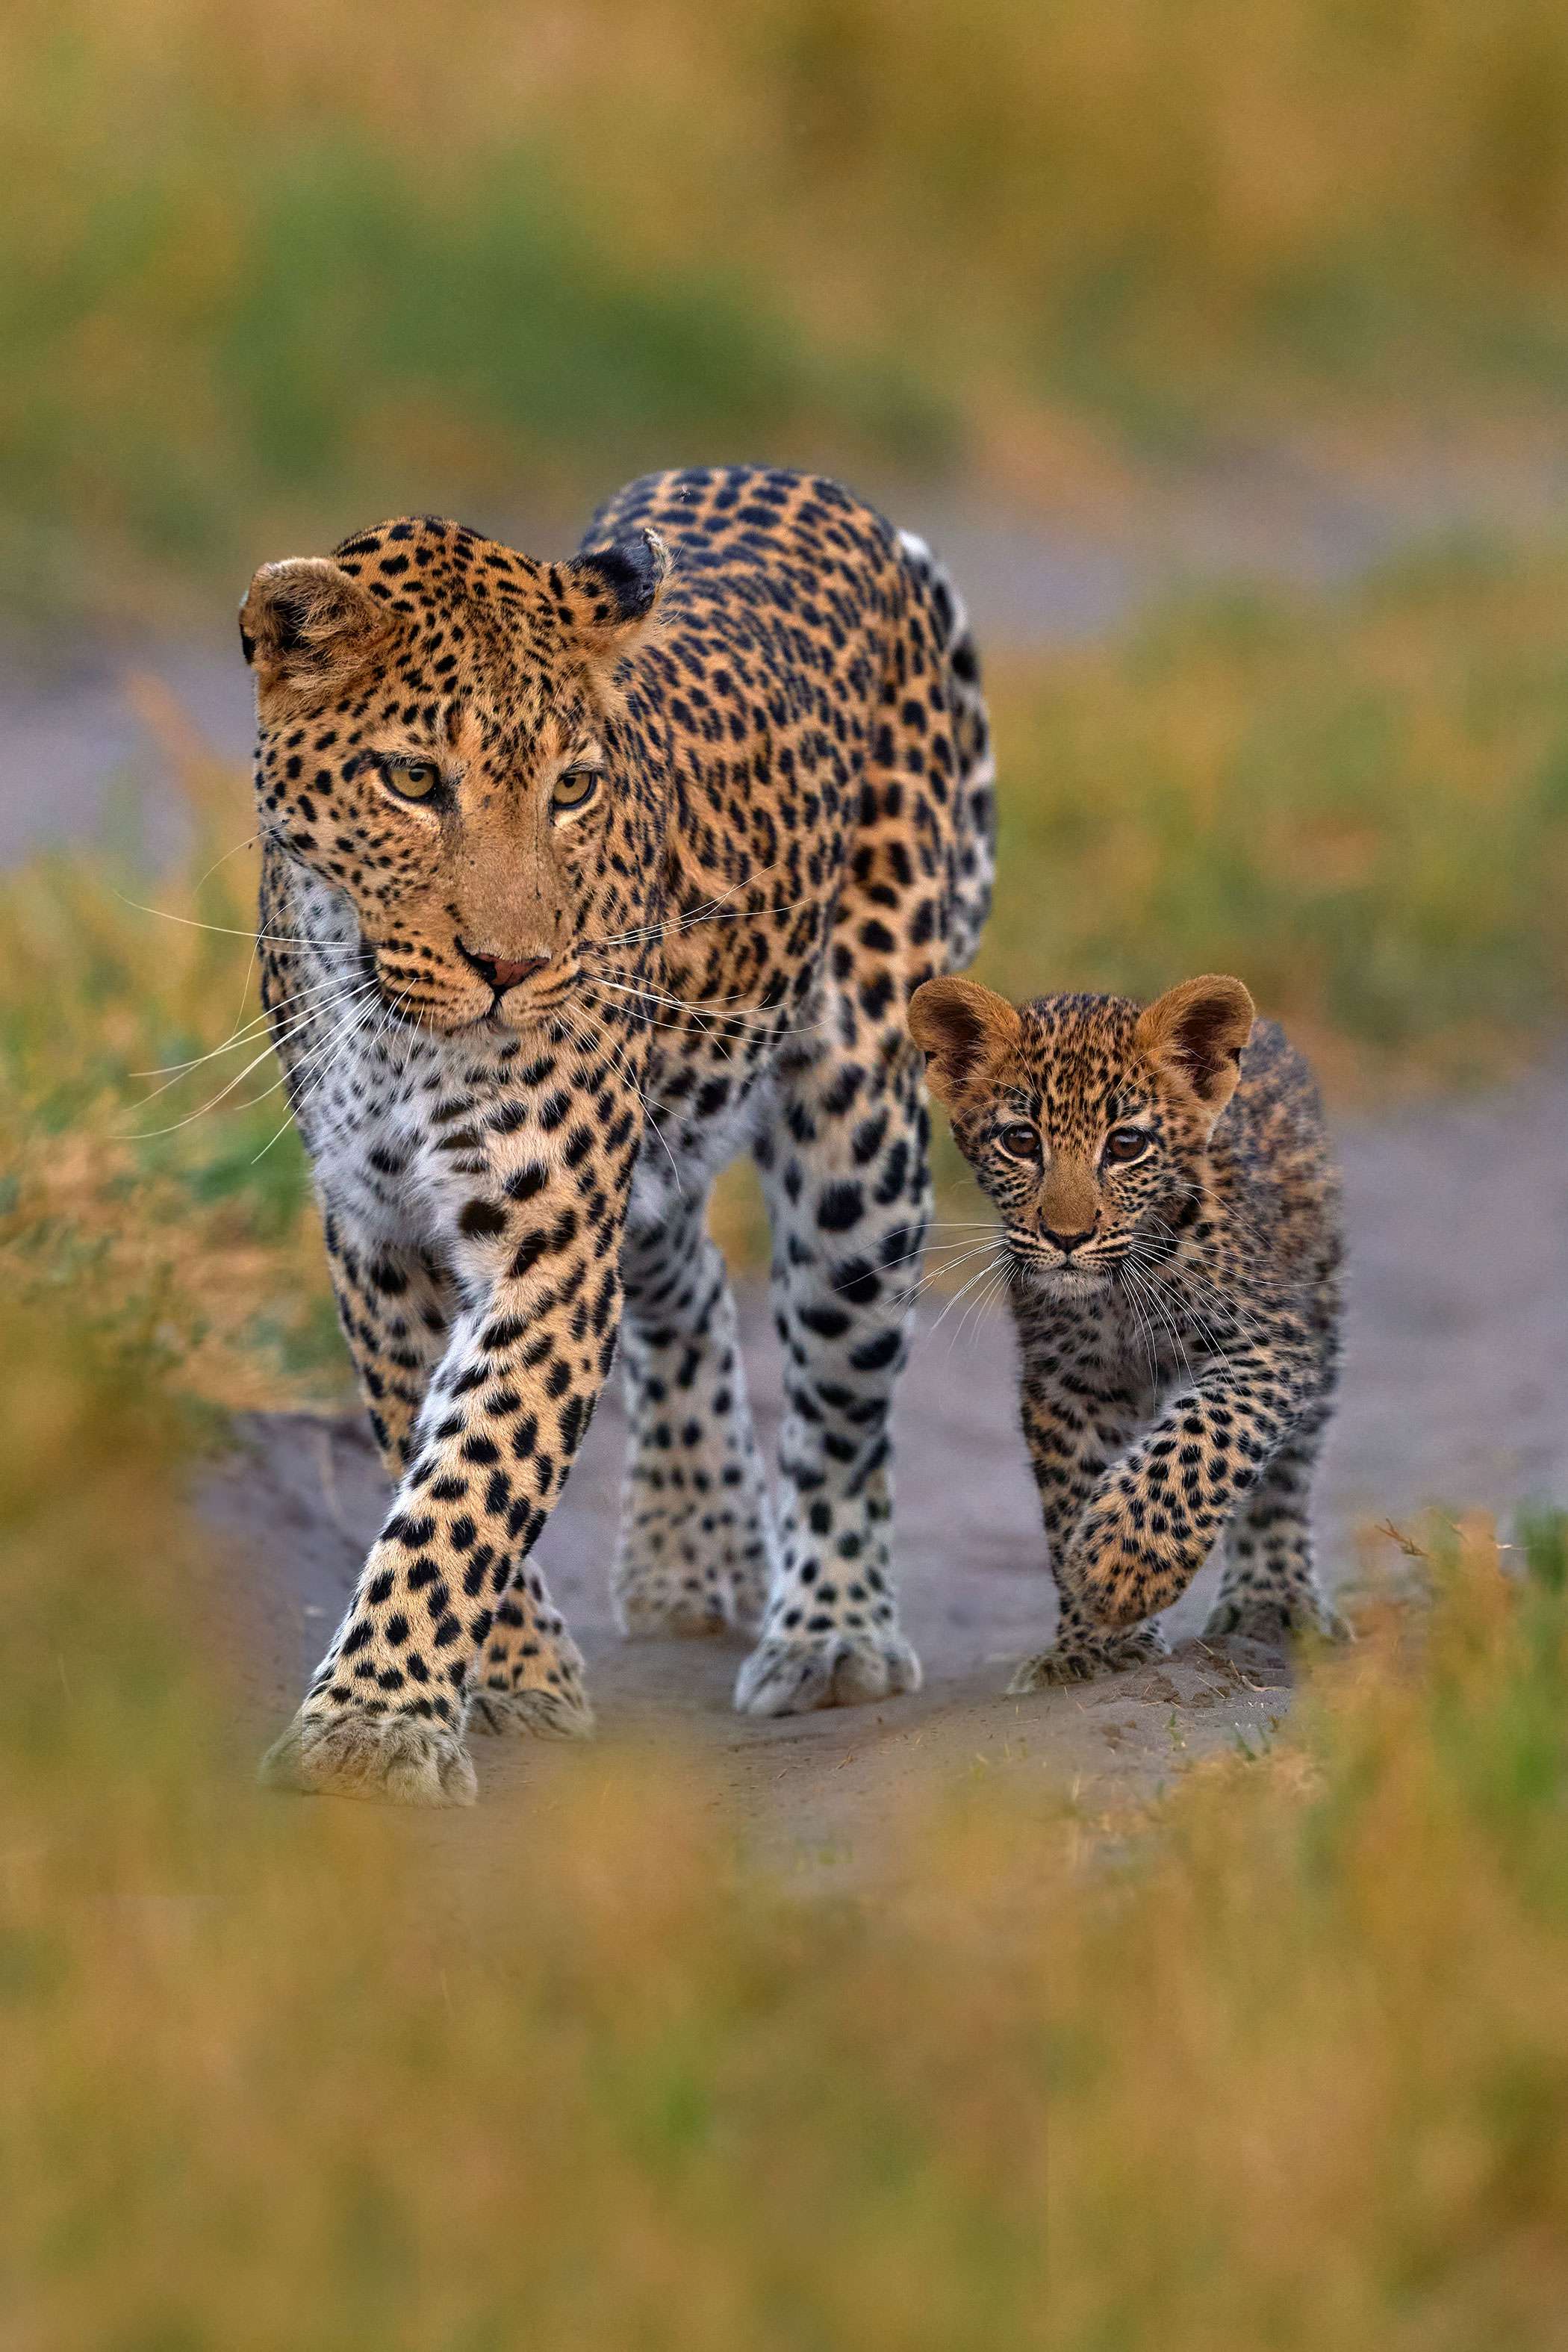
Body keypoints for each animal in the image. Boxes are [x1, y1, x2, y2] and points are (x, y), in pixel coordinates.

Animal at [238, 465, 996, 1804]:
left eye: (574, 791)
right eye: (413, 782)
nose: (512, 967)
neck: (395, 1030)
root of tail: (827, 489)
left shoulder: (546, 1239)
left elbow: (471, 1485)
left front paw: (373, 1727)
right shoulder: (376, 1236)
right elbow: (433, 1449)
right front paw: (516, 1677)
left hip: (858, 1132)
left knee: (842, 1395)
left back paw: (832, 1634)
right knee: (685, 1274)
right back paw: (692, 1548)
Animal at [907, 969, 1346, 1684]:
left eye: (1126, 1145)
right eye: (1021, 1142)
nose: (1066, 1238)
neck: (1114, 1295)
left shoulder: (1269, 1344)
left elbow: (1200, 1444)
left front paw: (1122, 1569)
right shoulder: (1072, 1384)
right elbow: (1071, 1493)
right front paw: (1090, 1640)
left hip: (1323, 1304)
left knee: (1286, 1476)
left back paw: (1273, 1597)